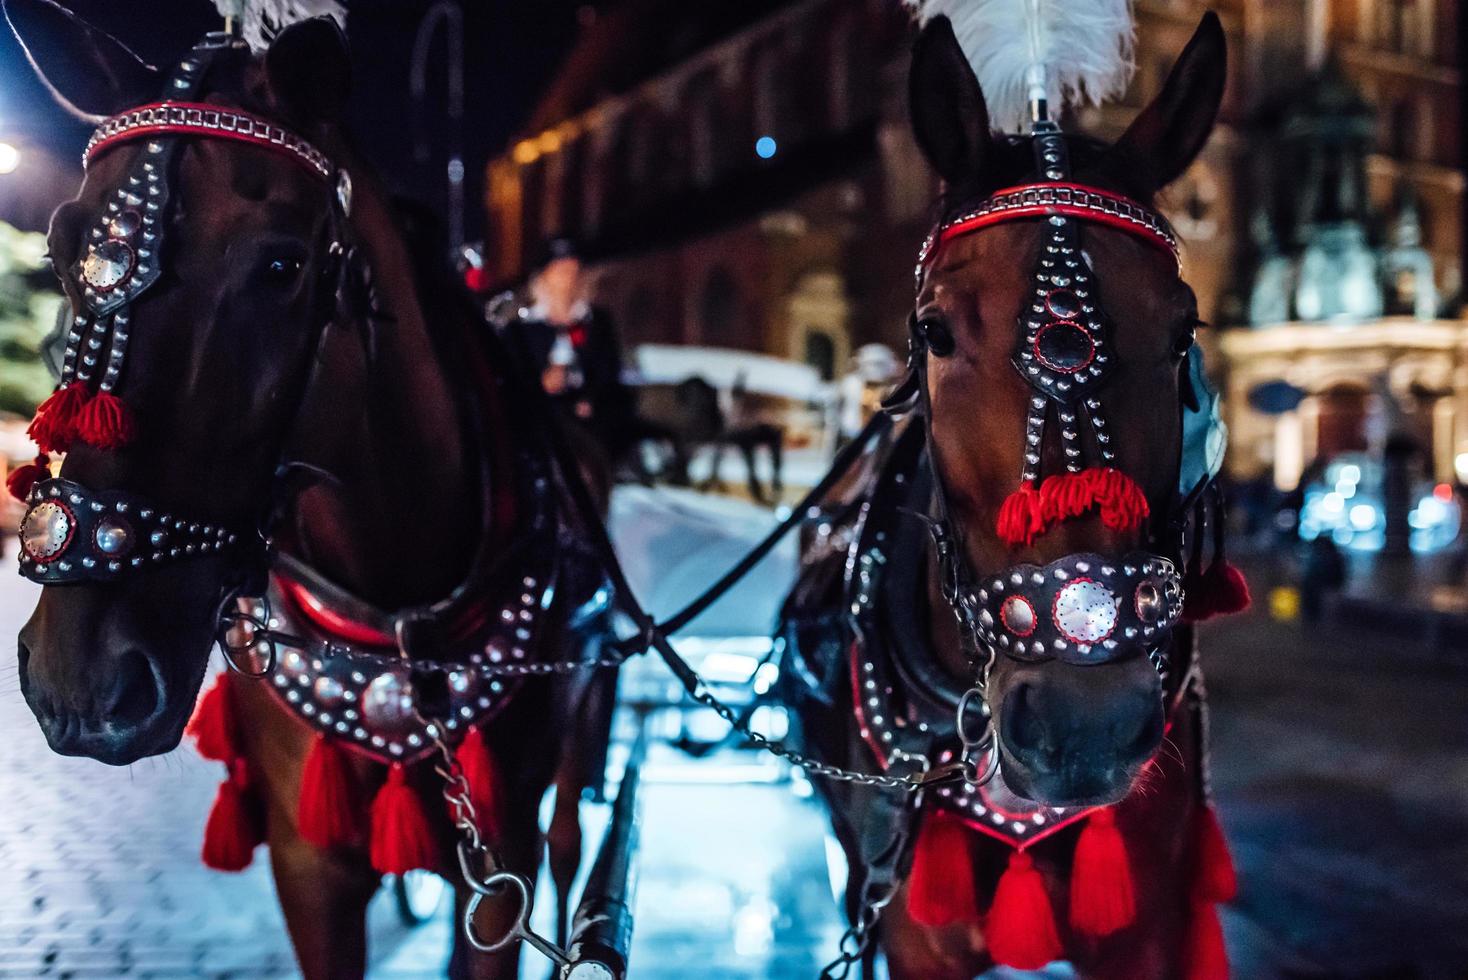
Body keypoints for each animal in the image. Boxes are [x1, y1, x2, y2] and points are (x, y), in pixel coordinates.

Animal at [8, 3, 613, 974]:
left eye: (282, 267)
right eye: (64, 252)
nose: (80, 682)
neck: (393, 608)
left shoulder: (504, 850)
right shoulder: (309, 861)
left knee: (569, 847)